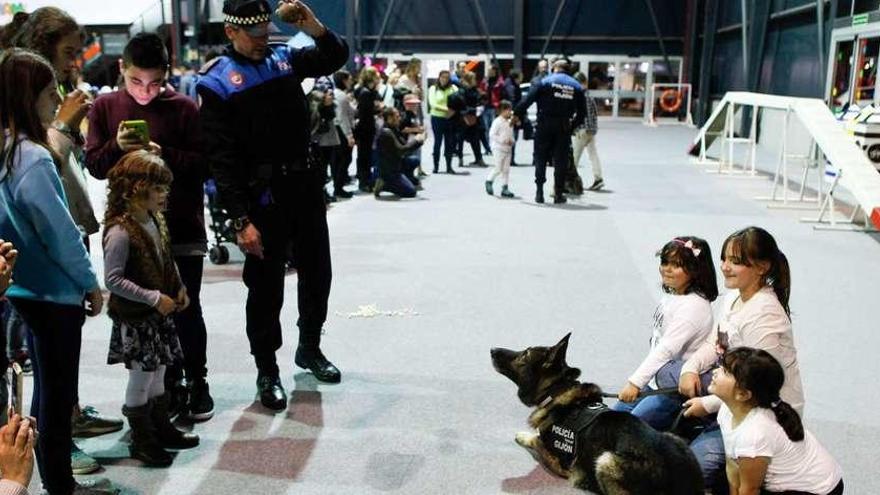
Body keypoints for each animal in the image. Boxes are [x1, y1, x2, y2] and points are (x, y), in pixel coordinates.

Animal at [492, 334, 704, 495]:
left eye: (525, 354)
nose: (492, 349)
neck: (557, 389)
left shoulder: (557, 461)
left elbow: (535, 439)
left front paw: (523, 435)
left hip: (605, 460)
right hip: (674, 438)